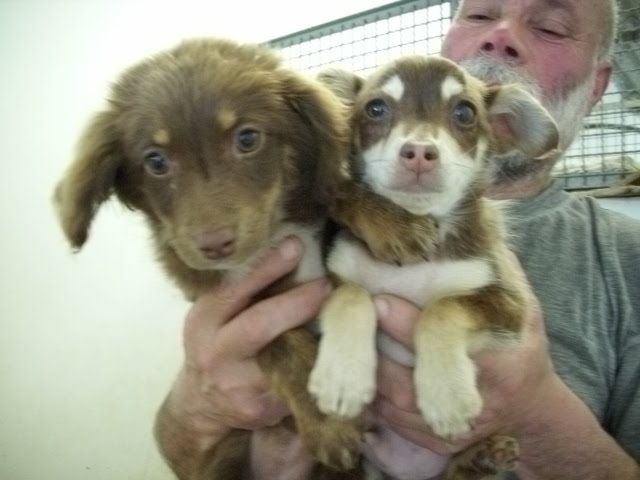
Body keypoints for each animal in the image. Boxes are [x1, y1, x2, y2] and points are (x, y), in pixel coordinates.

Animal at [312, 56, 559, 479]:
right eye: (375, 109)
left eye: (464, 113)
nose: (419, 151)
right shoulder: (333, 278)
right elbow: (352, 295)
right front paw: (342, 377)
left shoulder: (506, 304)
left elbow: (443, 309)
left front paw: (447, 396)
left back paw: (483, 455)